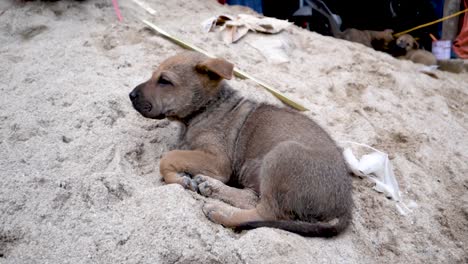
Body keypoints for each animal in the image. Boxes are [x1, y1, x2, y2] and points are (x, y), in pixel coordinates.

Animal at [130, 51, 352, 237]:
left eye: (165, 81)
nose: (131, 95)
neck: (205, 109)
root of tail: (345, 206)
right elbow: (174, 155)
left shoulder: (218, 161)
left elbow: (168, 158)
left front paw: (178, 179)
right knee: (253, 198)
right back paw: (212, 187)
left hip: (282, 154)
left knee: (265, 212)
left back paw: (220, 211)